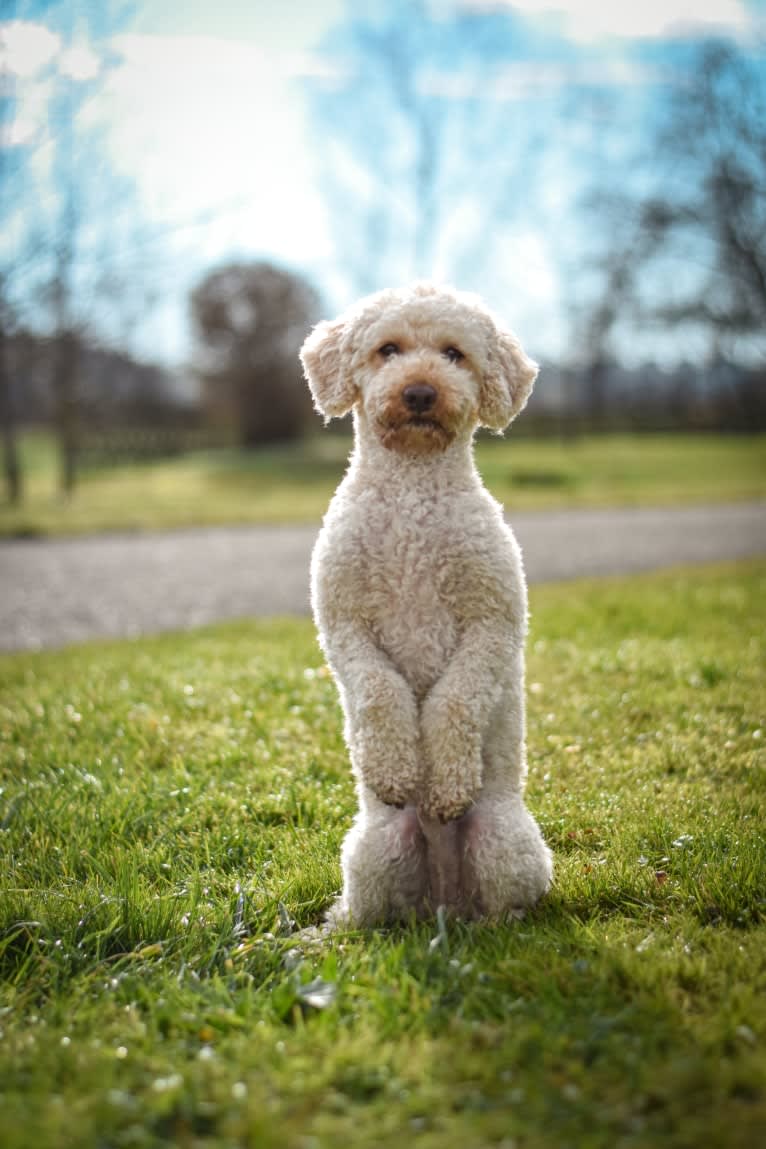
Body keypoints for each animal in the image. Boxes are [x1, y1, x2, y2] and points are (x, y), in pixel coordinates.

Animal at [298, 282, 551, 928]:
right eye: (387, 349)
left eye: (454, 354)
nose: (419, 392)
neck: (412, 486)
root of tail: (445, 902)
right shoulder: (343, 624)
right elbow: (380, 692)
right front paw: (394, 771)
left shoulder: (494, 622)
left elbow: (453, 701)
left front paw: (447, 784)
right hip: (376, 848)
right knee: (370, 915)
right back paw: (331, 930)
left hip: (505, 841)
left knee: (509, 906)